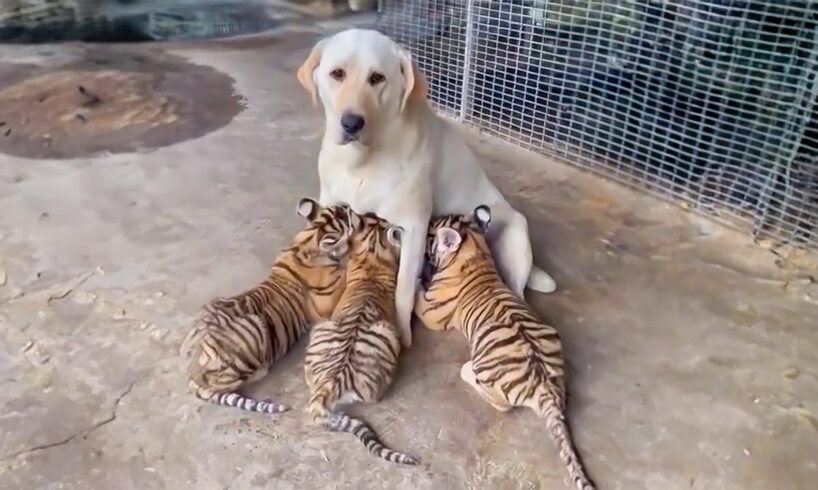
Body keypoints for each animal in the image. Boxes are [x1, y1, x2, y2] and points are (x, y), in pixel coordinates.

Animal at [296, 28, 556, 346]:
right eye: (337, 73)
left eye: (377, 78)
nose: (352, 124)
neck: (362, 161)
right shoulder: (333, 207)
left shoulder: (413, 227)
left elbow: (403, 290)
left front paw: (402, 334)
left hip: (515, 235)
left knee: (517, 293)